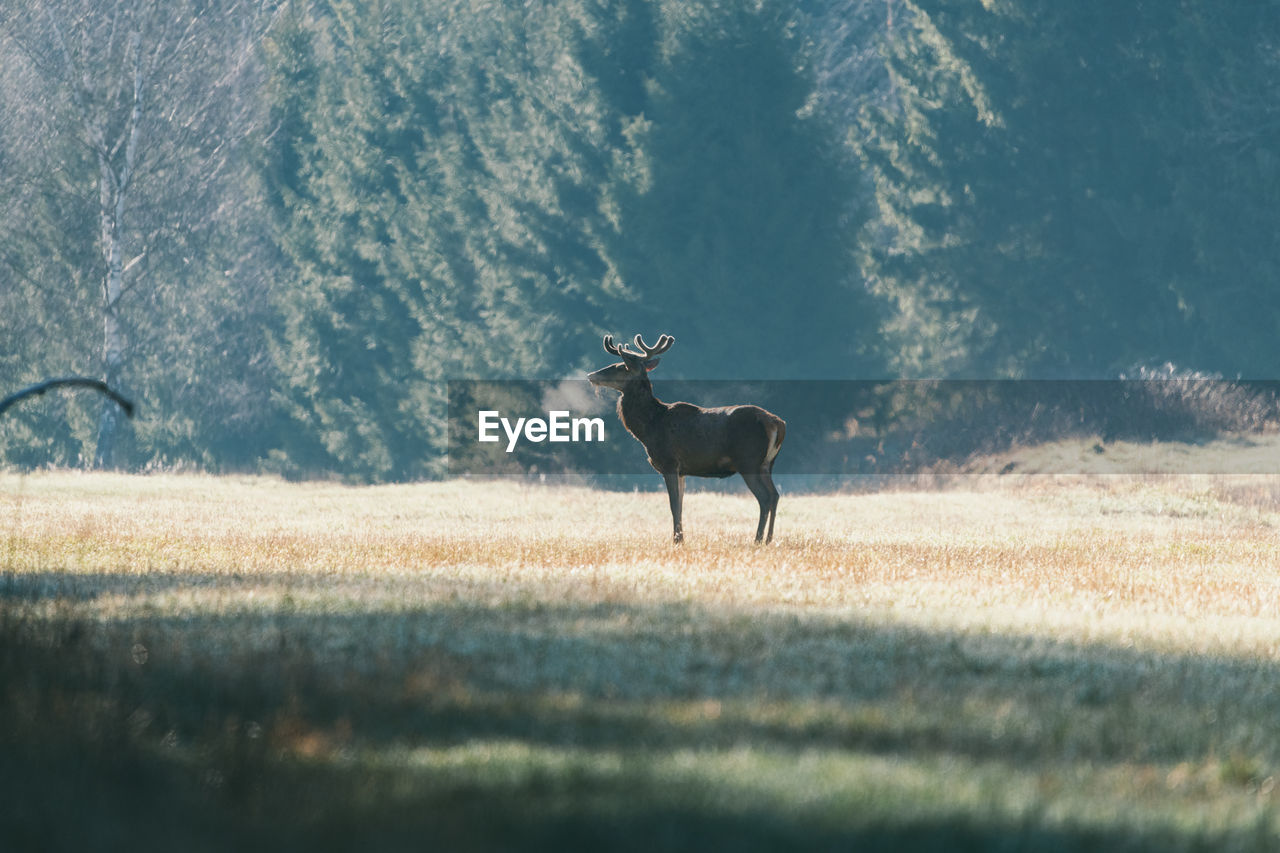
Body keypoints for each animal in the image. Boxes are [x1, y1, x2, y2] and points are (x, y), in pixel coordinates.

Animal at [586, 333, 783, 540]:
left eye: (620, 366)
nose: (591, 375)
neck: (650, 427)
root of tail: (778, 423)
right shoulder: (683, 470)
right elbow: (680, 505)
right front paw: (681, 538)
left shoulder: (669, 462)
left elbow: (673, 505)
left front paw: (676, 539)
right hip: (766, 464)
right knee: (775, 495)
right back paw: (769, 539)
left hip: (748, 460)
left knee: (765, 497)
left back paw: (758, 539)